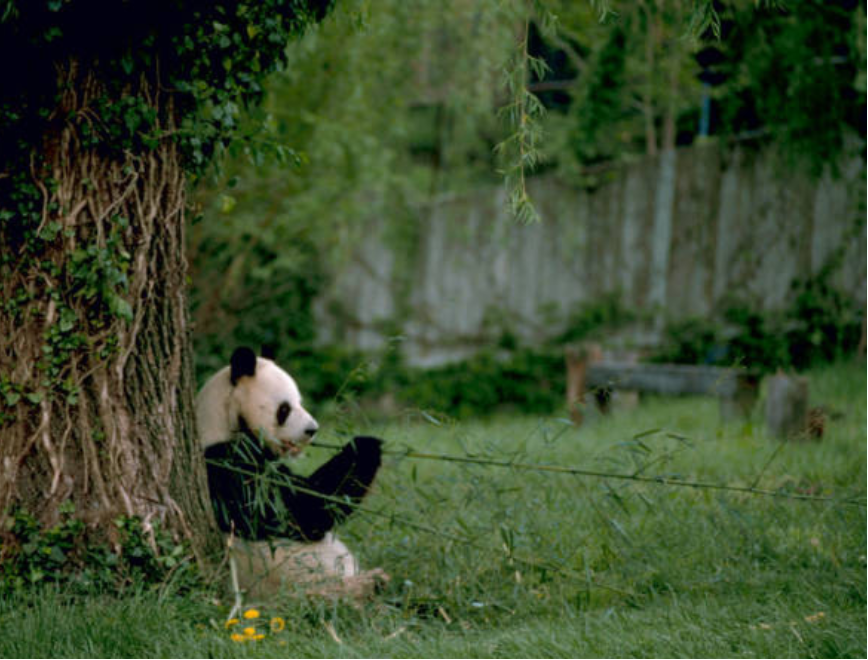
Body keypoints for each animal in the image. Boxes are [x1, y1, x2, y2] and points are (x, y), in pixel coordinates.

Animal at [196, 346, 388, 600]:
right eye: (285, 408)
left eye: (300, 402)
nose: (312, 430)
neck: (220, 421)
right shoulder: (227, 466)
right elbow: (304, 511)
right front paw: (365, 446)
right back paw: (373, 585)